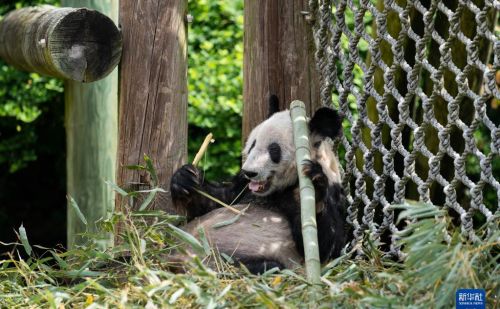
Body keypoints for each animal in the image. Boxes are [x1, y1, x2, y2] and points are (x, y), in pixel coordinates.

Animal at [169, 105, 348, 272]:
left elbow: (328, 246)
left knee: (266, 267)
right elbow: (218, 200)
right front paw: (185, 178)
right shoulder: (243, 187)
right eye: (252, 144)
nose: (249, 172)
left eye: (274, 149)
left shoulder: (335, 193)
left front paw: (315, 188)